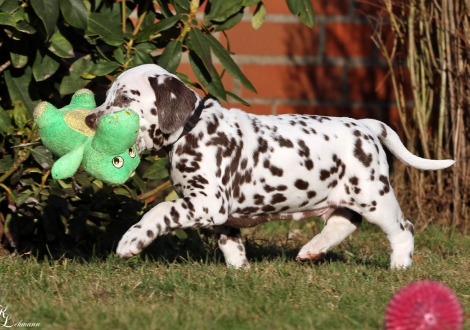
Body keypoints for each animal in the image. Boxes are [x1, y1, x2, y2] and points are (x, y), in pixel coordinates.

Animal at [85, 63, 456, 268]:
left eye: (125, 98)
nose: (88, 120)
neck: (192, 129)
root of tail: (366, 125)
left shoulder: (206, 202)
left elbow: (160, 210)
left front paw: (132, 241)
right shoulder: (222, 214)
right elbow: (230, 243)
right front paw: (239, 272)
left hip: (373, 196)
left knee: (402, 230)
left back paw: (399, 267)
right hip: (344, 196)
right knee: (344, 222)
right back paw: (312, 250)